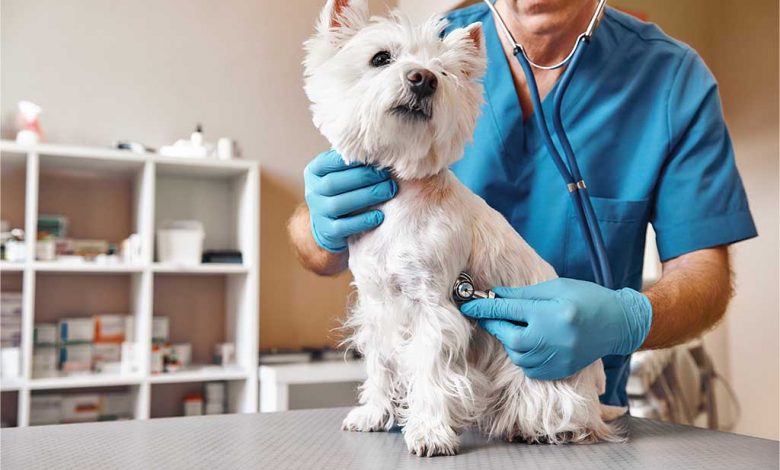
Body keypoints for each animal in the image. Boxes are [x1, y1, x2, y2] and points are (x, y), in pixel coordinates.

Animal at [304, 0, 620, 456]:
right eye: (380, 58)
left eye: (445, 72)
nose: (423, 78)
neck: (401, 193)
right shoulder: (376, 304)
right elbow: (381, 364)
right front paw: (375, 414)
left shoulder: (434, 306)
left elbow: (430, 373)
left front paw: (430, 433)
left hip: (546, 378)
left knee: (565, 412)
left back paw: (542, 429)